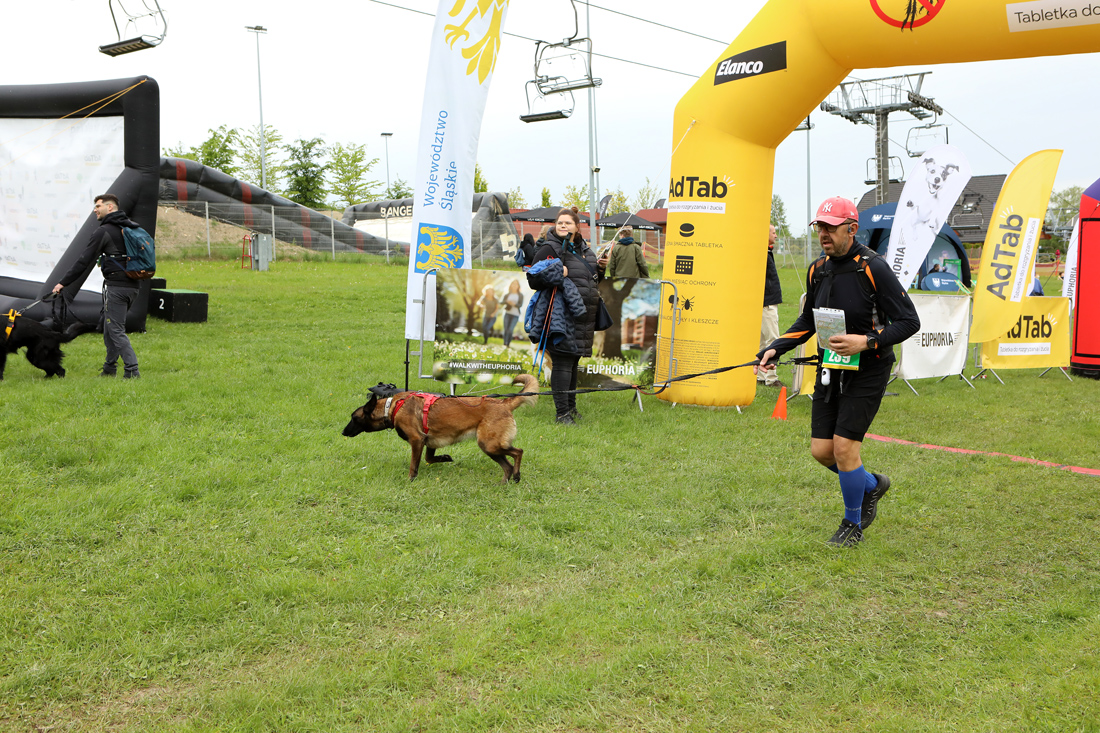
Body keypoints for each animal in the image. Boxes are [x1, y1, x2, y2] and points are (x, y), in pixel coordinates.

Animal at [342, 373, 539, 482]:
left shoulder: (417, 440)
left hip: (489, 445)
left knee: (518, 452)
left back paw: (517, 476)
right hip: (491, 447)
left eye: (353, 418)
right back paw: (505, 482)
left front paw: (410, 479)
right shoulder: (429, 442)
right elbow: (429, 458)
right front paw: (445, 458)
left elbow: (414, 464)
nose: (343, 432)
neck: (392, 407)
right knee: (507, 465)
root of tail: (504, 403)